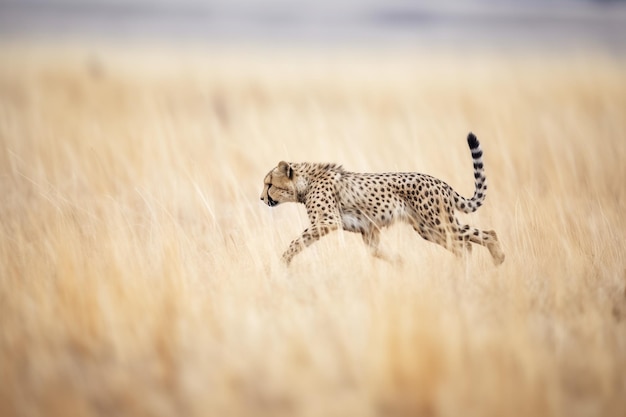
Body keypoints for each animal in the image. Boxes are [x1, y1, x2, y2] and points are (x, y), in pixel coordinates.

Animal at [258, 132, 502, 264]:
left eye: (269, 184)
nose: (261, 198)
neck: (306, 181)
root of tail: (442, 183)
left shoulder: (327, 220)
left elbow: (296, 241)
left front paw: (283, 261)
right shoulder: (368, 230)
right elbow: (376, 251)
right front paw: (399, 262)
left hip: (439, 222)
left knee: (482, 235)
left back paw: (497, 258)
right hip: (427, 229)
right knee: (463, 245)